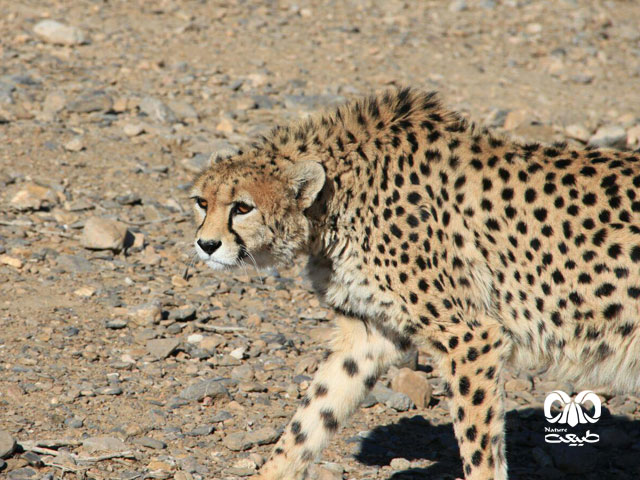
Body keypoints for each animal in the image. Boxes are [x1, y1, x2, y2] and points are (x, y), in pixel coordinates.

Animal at [190, 88, 640, 478]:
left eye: (243, 207)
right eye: (202, 202)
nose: (206, 244)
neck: (334, 201)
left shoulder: (472, 338)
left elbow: (480, 448)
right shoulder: (368, 333)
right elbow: (311, 419)